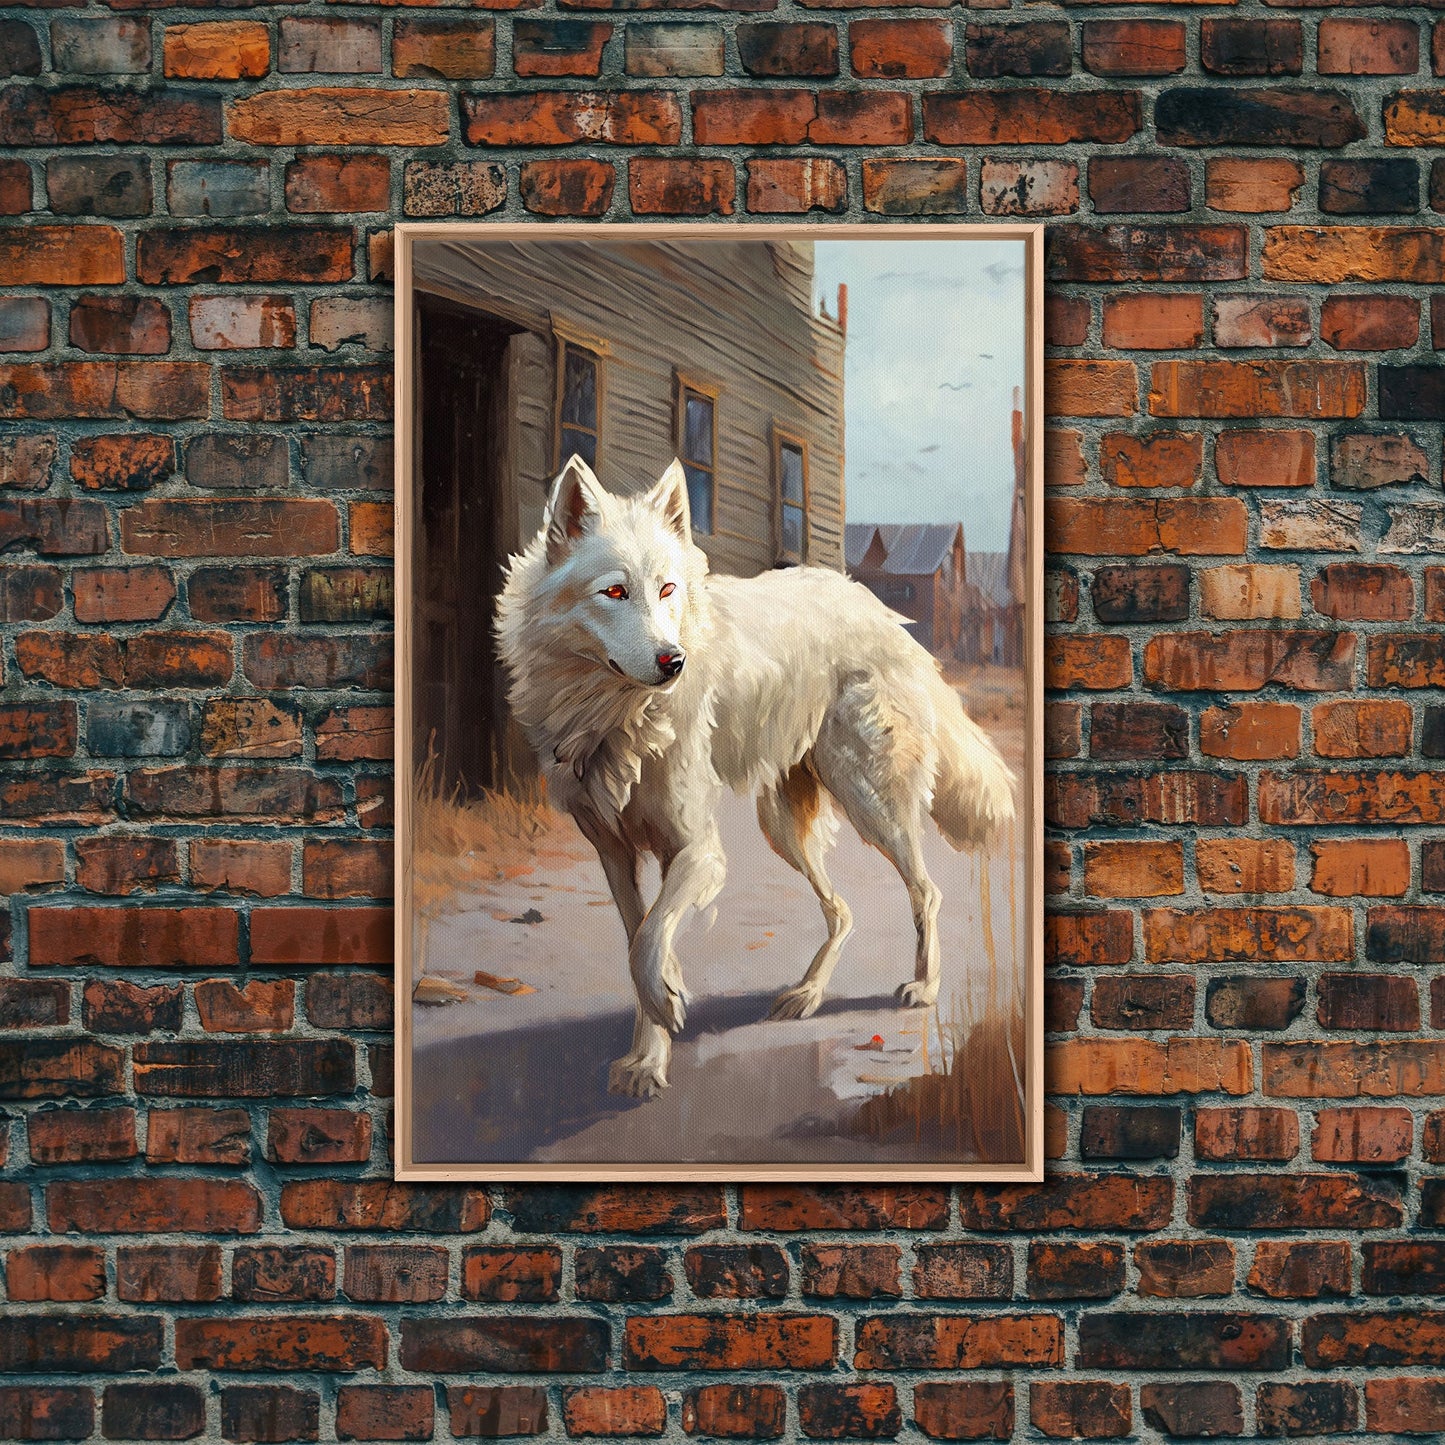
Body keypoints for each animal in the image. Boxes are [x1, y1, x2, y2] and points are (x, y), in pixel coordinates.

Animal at [496, 454, 1017, 1098]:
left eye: (667, 589)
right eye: (614, 591)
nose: (674, 662)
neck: (615, 713)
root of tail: (886, 616)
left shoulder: (696, 849)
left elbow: (647, 942)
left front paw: (663, 1015)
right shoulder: (615, 854)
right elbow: (640, 941)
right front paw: (653, 1046)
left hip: (870, 803)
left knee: (926, 890)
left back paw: (923, 988)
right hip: (782, 826)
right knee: (843, 909)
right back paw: (806, 994)